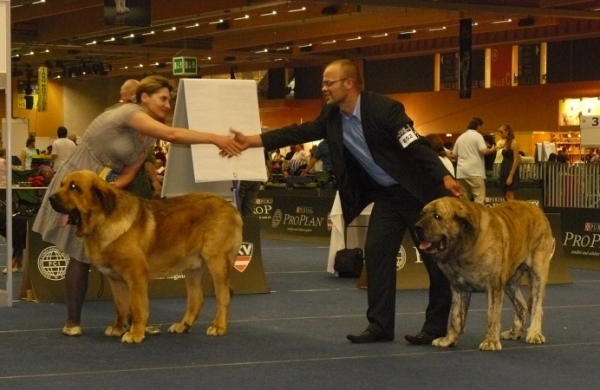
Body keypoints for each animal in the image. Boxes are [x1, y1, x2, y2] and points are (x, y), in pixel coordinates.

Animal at [48, 171, 243, 344]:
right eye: (62, 184)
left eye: (74, 187)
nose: (51, 198)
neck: (101, 221)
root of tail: (231, 208)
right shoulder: (114, 279)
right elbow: (120, 306)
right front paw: (118, 328)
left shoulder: (136, 274)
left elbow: (136, 306)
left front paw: (135, 334)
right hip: (193, 269)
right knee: (196, 300)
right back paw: (183, 326)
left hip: (217, 262)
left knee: (223, 296)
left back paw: (218, 327)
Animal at [414, 198, 556, 350]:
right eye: (422, 214)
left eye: (437, 216)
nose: (417, 227)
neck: (464, 246)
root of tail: (535, 208)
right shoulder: (458, 287)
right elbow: (456, 317)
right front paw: (449, 339)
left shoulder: (493, 286)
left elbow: (492, 315)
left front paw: (490, 341)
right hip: (509, 282)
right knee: (521, 305)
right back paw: (514, 332)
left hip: (538, 273)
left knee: (536, 306)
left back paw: (534, 333)